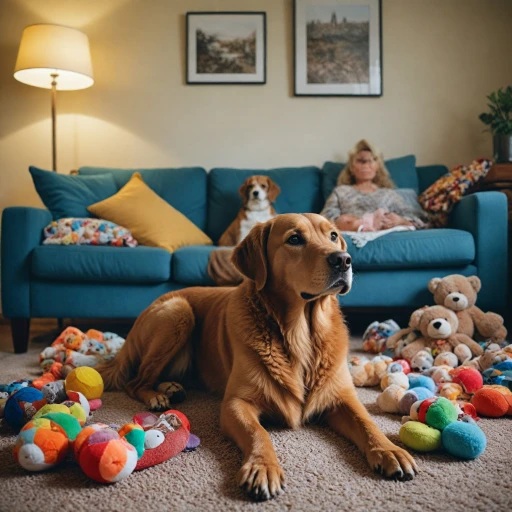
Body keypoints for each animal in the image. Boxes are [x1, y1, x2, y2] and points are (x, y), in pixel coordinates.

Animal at [98, 212, 418, 500]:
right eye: (295, 239)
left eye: (333, 235)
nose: (343, 259)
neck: (301, 333)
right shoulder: (236, 404)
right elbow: (258, 433)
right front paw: (262, 468)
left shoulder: (341, 397)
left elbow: (367, 422)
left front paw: (389, 451)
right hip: (177, 312)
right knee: (134, 381)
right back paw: (156, 395)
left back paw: (171, 387)